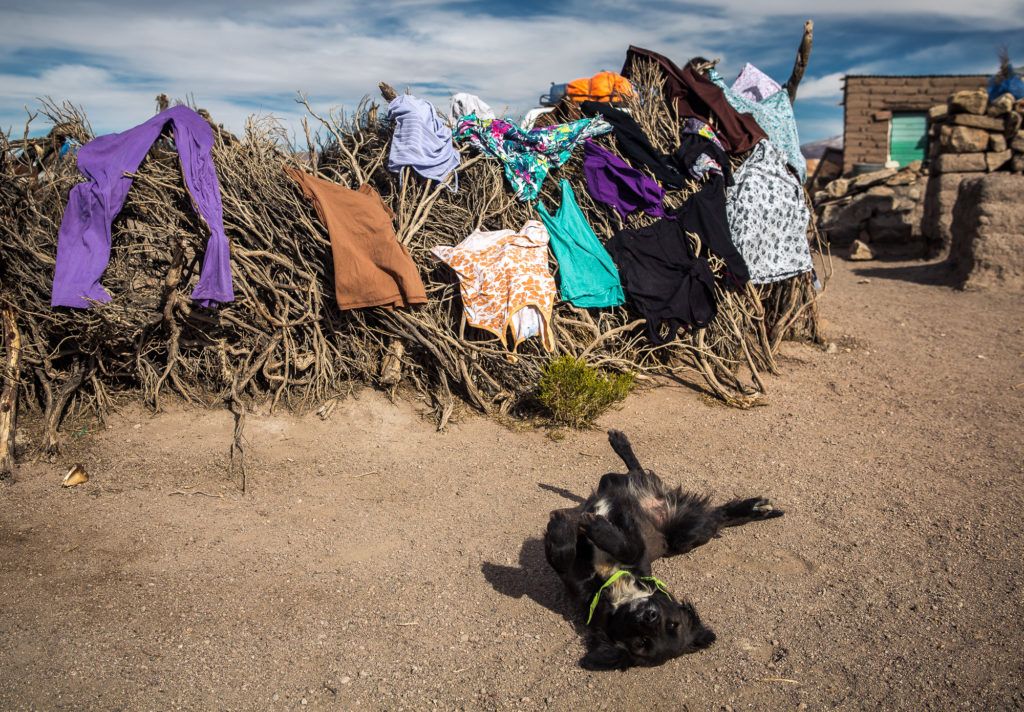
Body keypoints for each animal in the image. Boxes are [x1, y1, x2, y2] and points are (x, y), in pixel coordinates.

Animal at [544, 432, 782, 672]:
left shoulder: (635, 557)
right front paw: (563, 530)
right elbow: (564, 558)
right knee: (638, 474)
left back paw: (757, 509)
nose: (650, 616)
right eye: (672, 623)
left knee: (719, 516)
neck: (612, 582)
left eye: (643, 643)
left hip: (684, 537)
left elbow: (628, 548)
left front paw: (590, 527)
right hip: (645, 503)